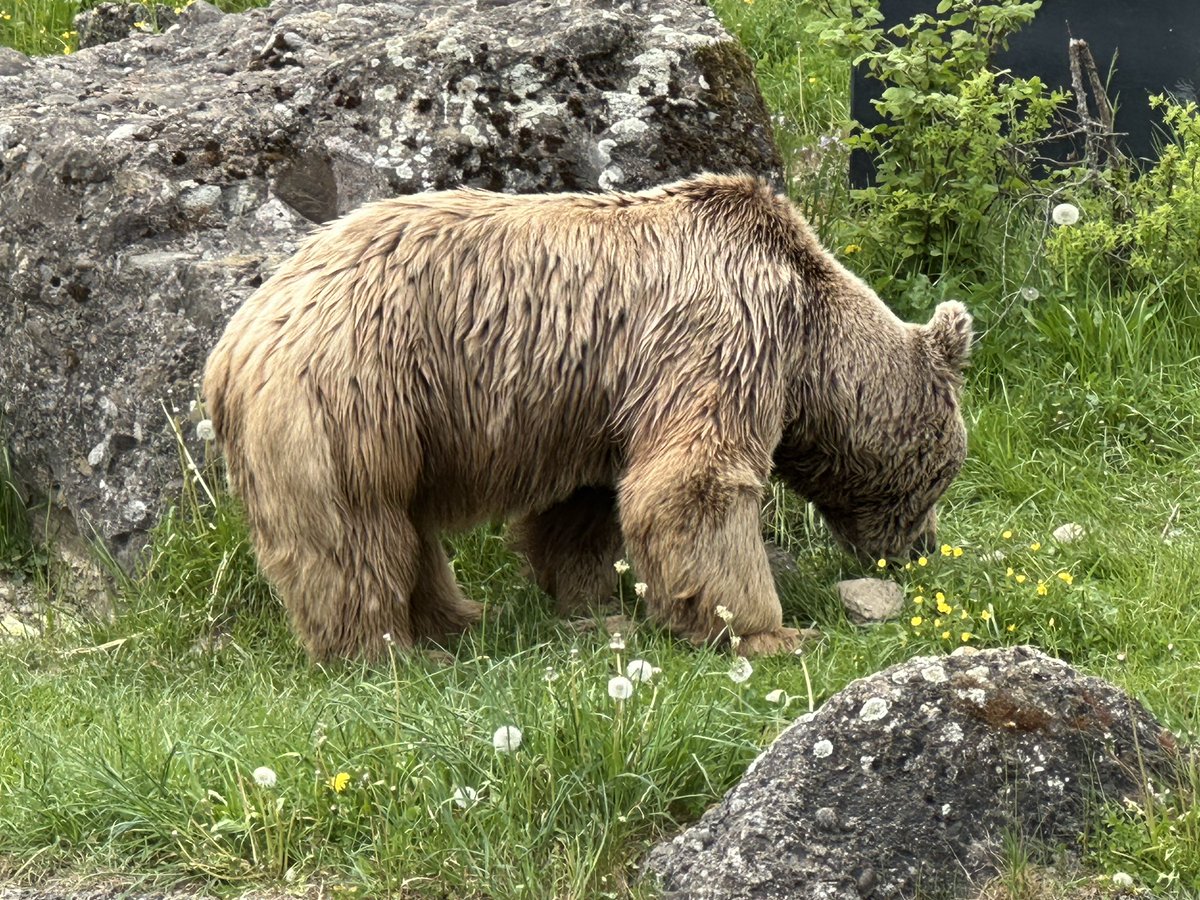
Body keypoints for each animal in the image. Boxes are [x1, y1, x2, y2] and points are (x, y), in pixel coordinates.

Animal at [202, 173, 972, 662]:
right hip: (351, 398)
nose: (923, 549)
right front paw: (769, 632)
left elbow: (580, 508)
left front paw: (591, 603)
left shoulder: (602, 401)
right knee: (354, 535)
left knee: (405, 530)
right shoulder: (723, 332)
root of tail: (230, 346)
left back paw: (459, 618)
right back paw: (387, 651)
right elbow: (694, 482)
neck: (808, 340)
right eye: (942, 475)